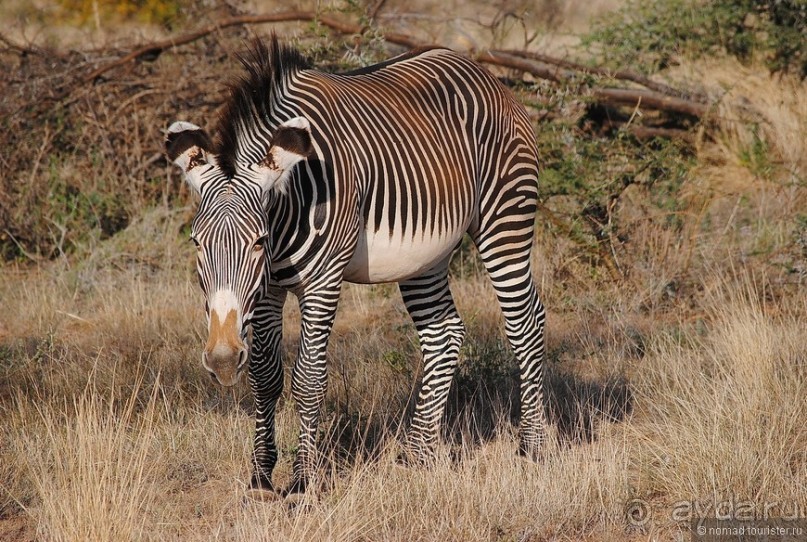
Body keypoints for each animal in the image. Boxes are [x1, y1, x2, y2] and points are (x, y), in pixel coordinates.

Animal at [168, 36, 552, 500]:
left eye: (258, 241)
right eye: (197, 243)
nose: (223, 360)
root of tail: (479, 67)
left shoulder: (322, 281)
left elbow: (308, 378)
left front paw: (303, 483)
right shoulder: (268, 291)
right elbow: (265, 374)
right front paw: (260, 478)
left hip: (506, 218)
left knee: (525, 325)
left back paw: (531, 447)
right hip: (425, 255)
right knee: (444, 335)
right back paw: (417, 456)